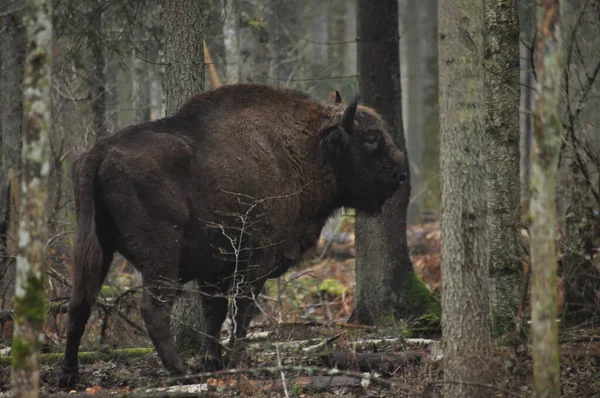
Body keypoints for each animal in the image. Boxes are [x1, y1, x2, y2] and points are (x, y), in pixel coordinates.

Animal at [58, 83, 408, 386]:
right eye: (372, 138)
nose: (401, 172)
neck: (309, 147)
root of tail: (100, 153)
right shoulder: (256, 259)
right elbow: (242, 311)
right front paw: (237, 359)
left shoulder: (214, 268)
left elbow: (214, 312)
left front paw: (212, 361)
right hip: (162, 254)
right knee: (153, 309)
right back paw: (179, 372)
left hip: (95, 245)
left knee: (79, 304)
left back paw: (69, 377)